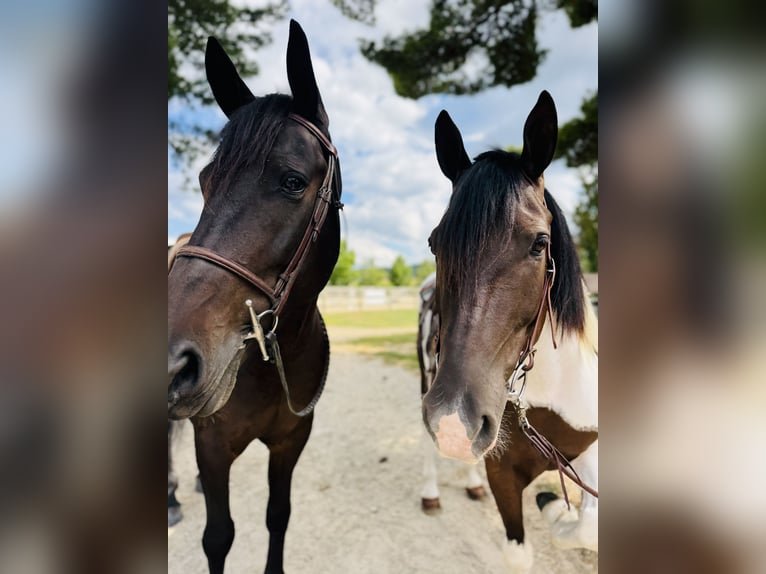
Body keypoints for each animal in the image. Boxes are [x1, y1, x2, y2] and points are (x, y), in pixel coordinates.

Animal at [167, 20, 342, 574]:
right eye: (206, 181)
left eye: (292, 180)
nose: (173, 361)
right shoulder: (212, 444)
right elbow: (218, 536)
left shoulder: (290, 442)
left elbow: (277, 516)